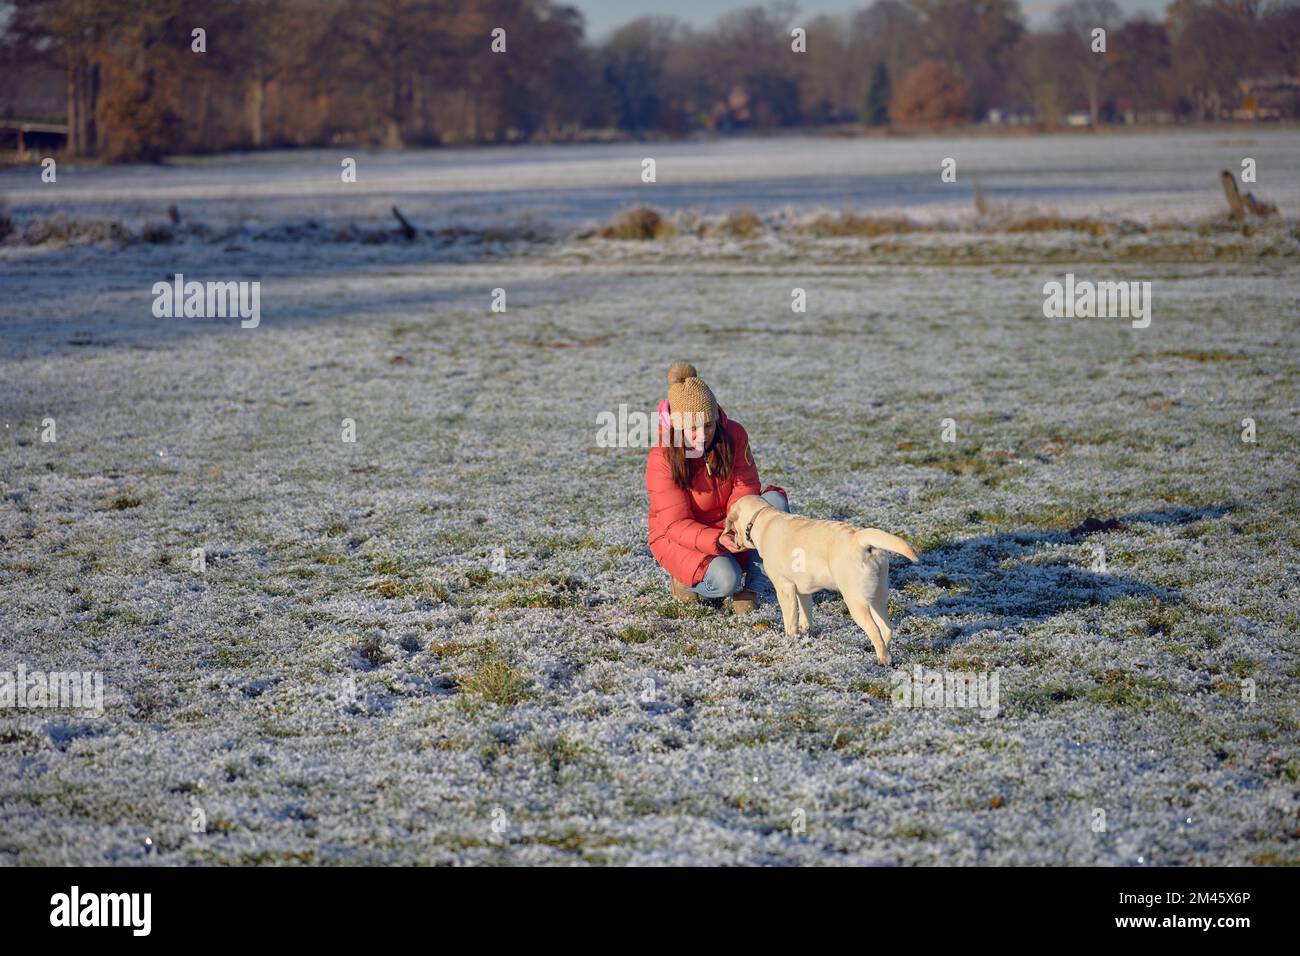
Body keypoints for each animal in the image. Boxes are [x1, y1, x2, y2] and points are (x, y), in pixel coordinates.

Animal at [728, 494, 920, 665]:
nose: (733, 540)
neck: (761, 520)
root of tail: (860, 538)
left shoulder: (784, 588)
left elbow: (790, 621)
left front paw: (789, 641)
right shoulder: (803, 591)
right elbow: (806, 616)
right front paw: (806, 634)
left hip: (856, 601)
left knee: (874, 630)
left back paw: (883, 660)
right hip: (877, 596)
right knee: (886, 628)